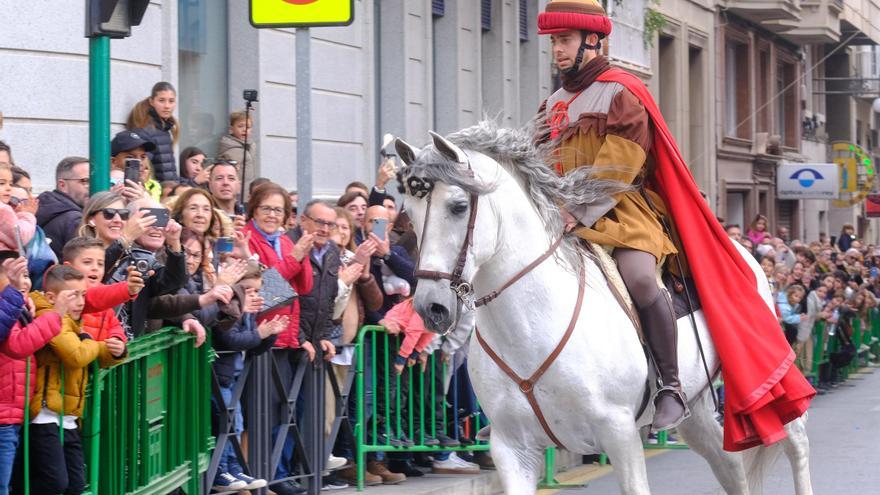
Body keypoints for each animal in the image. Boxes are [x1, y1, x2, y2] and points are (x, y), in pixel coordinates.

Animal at [394, 125, 812, 495]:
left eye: (458, 206)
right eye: (409, 213)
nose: (431, 307)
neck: (531, 325)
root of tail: (744, 250)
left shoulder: (619, 432)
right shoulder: (513, 448)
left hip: (761, 376)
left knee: (796, 441)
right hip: (697, 409)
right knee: (731, 468)